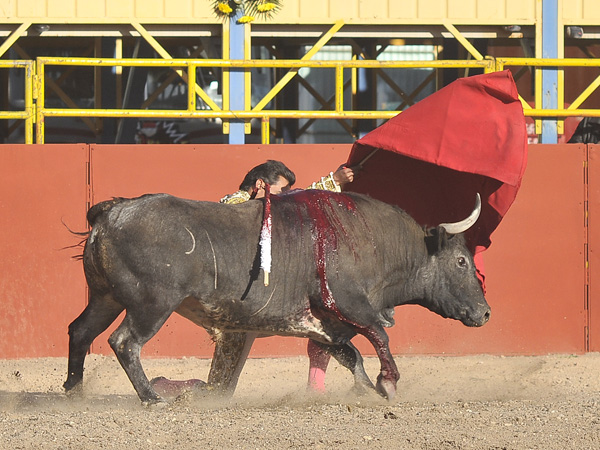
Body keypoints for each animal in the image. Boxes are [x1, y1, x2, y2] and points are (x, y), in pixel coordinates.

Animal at [63, 190, 490, 404]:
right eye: (461, 261)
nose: (485, 313)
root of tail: (112, 212)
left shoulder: (328, 326)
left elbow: (351, 356)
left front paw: (368, 391)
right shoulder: (351, 305)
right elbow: (379, 337)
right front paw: (388, 383)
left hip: (105, 298)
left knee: (80, 331)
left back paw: (74, 391)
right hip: (151, 305)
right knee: (125, 342)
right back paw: (152, 397)